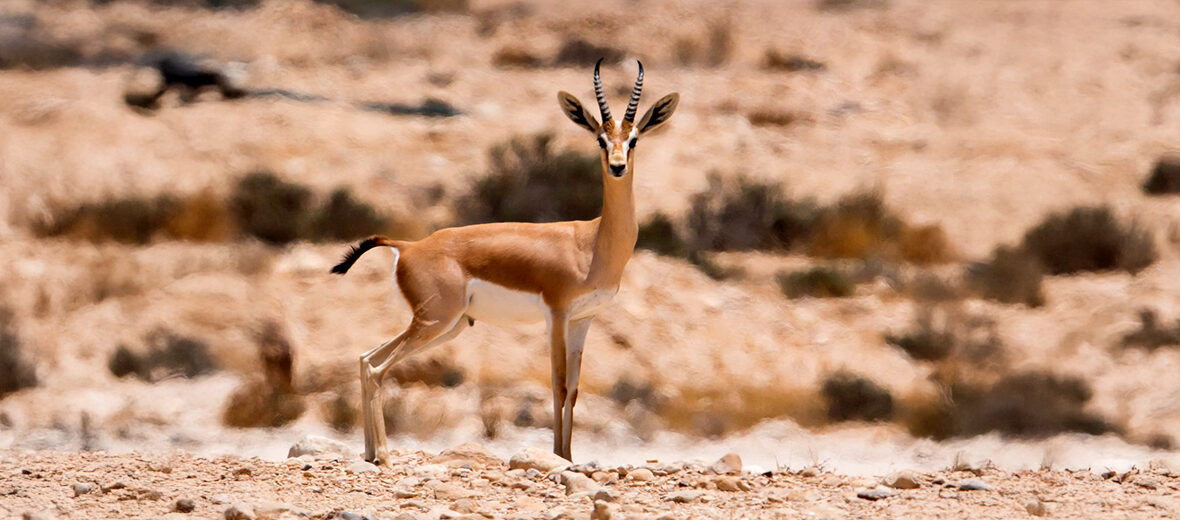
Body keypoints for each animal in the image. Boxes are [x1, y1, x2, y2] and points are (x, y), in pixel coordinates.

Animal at [331, 60, 679, 464]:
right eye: (600, 140)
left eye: (633, 139)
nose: (618, 166)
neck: (592, 243)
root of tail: (408, 245)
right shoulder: (556, 313)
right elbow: (558, 385)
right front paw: (559, 457)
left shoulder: (583, 319)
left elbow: (574, 388)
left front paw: (570, 456)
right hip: (435, 321)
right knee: (376, 367)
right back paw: (384, 455)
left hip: (448, 325)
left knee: (365, 358)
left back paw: (370, 454)